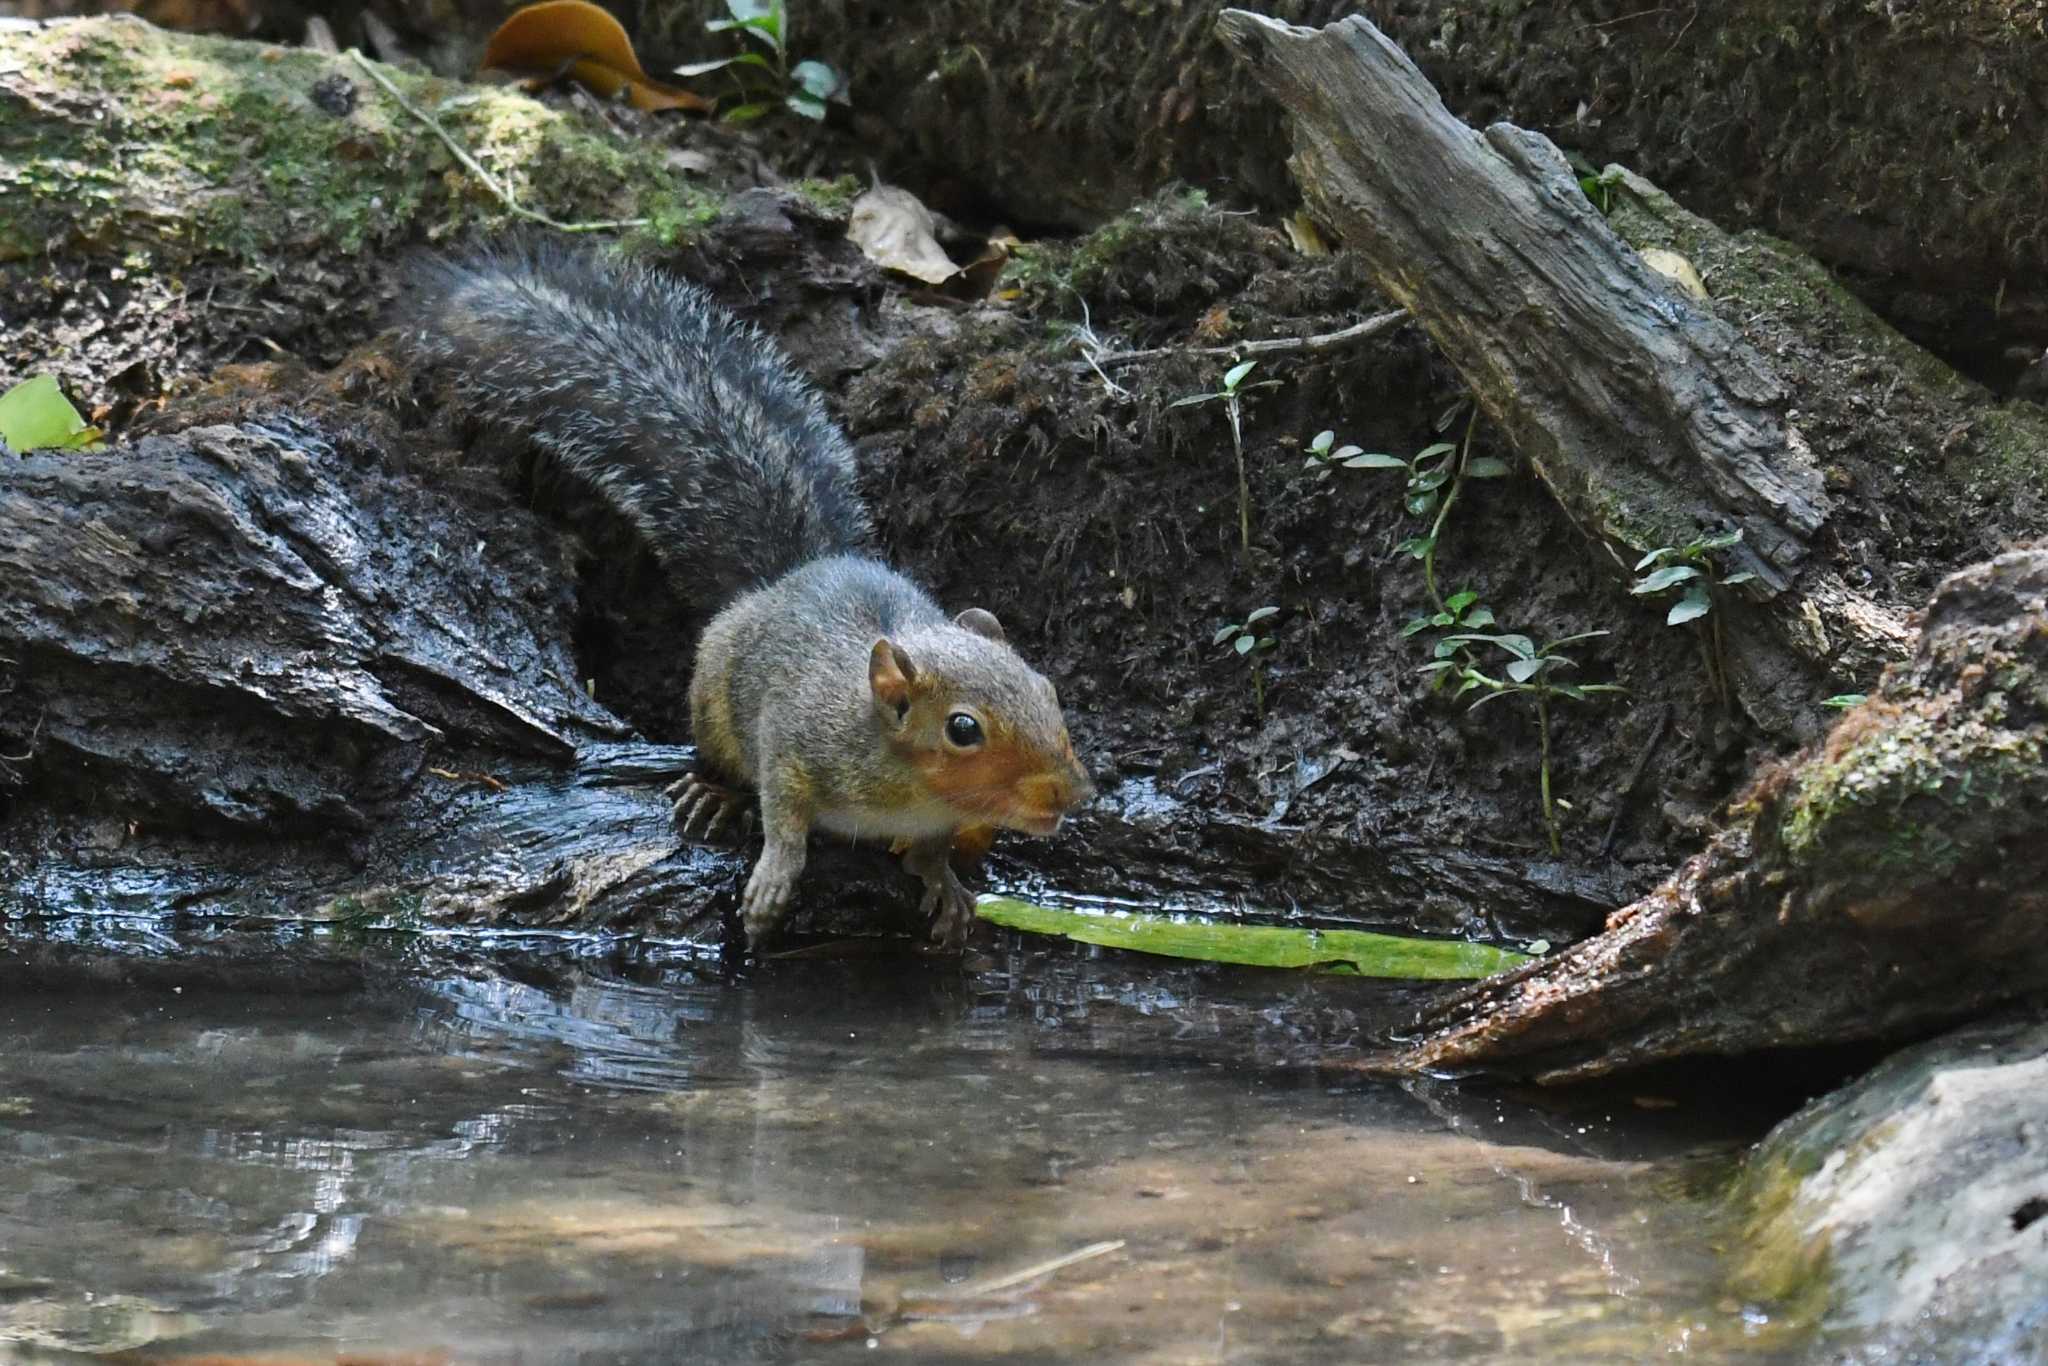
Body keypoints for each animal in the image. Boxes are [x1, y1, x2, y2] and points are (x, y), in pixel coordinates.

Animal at [401, 242, 1105, 950]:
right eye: (963, 729)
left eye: (1046, 689)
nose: (1072, 795)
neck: (911, 788)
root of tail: (788, 577)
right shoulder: (794, 741)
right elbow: (783, 814)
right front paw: (773, 880)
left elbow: (931, 851)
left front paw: (944, 883)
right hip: (713, 706)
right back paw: (718, 796)